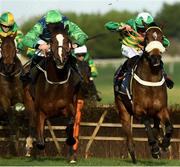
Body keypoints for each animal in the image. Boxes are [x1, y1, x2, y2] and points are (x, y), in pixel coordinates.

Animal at [23, 22, 81, 162]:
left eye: (68, 40)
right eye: (52, 41)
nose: (61, 59)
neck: (55, 83)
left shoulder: (69, 106)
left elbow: (71, 124)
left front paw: (71, 149)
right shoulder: (40, 110)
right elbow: (40, 139)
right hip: (28, 102)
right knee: (32, 123)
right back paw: (29, 147)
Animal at [114, 26, 174, 164]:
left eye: (162, 38)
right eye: (146, 38)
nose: (156, 58)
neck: (151, 81)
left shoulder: (161, 109)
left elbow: (169, 127)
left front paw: (164, 144)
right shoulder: (138, 110)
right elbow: (147, 124)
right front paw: (155, 148)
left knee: (157, 126)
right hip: (123, 109)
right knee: (128, 131)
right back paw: (133, 154)